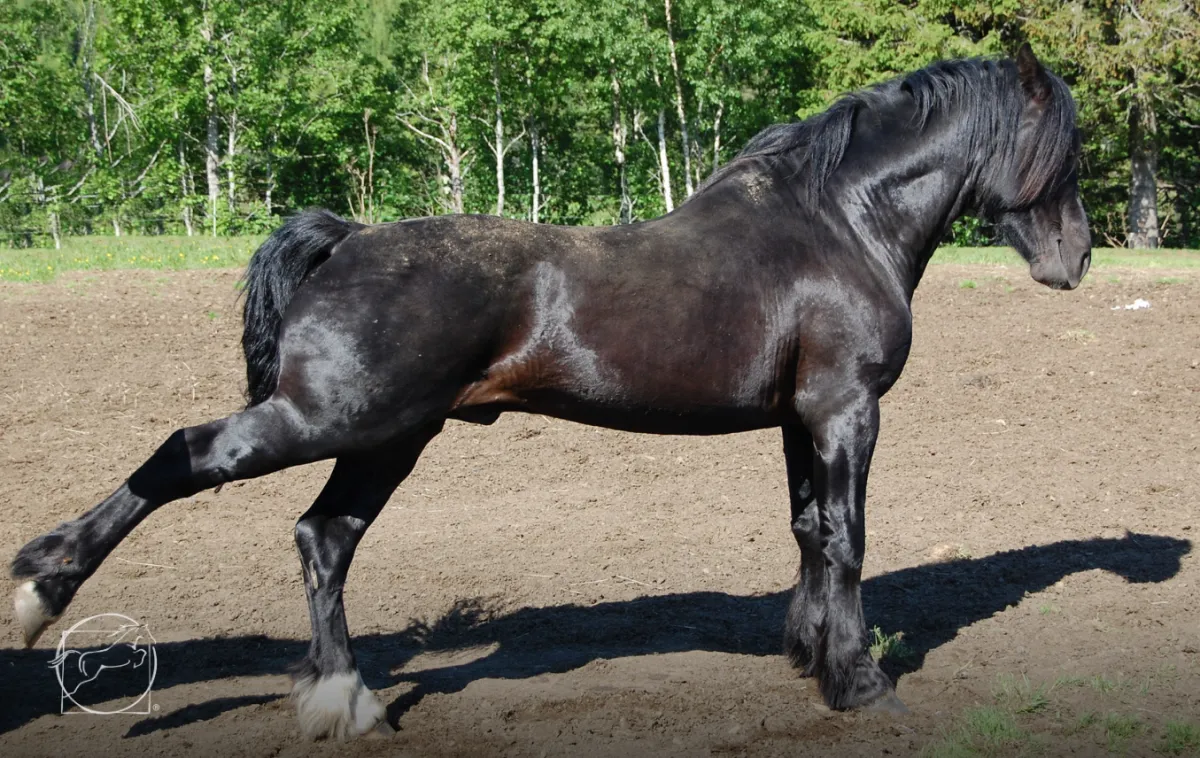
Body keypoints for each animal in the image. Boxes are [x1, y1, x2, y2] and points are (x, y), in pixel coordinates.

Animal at [12, 44, 1089, 739]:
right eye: (1067, 151)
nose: (1076, 257)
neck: (836, 221)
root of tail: (349, 237)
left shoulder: (801, 419)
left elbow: (810, 534)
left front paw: (809, 656)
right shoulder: (845, 411)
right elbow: (849, 538)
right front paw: (861, 682)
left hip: (388, 437)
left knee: (323, 538)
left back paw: (344, 700)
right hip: (333, 419)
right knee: (185, 457)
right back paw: (41, 586)